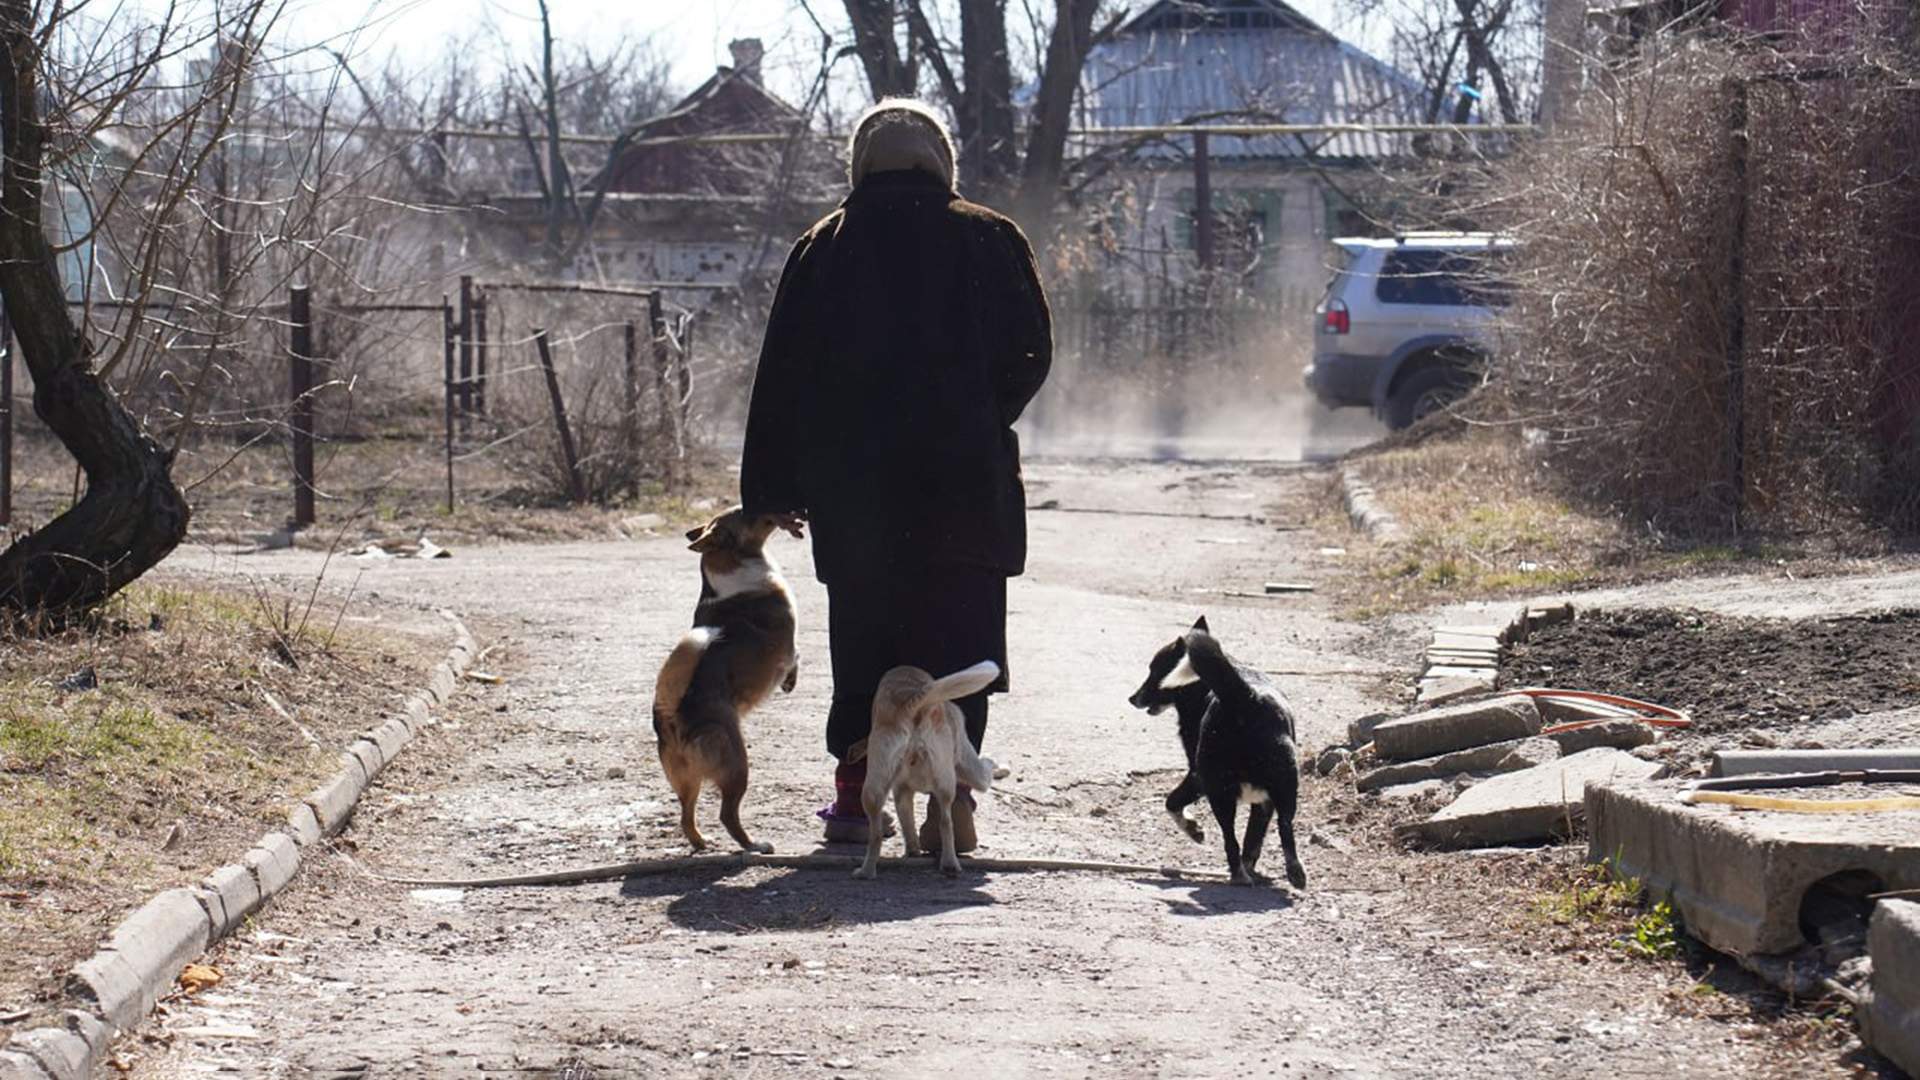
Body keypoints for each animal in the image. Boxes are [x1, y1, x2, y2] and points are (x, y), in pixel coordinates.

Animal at [645, 503, 794, 849]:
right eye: (745, 511)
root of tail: (671, 714)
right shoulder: (788, 641)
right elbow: (795, 658)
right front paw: (790, 680)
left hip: (687, 780)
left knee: (686, 816)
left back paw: (701, 842)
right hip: (736, 764)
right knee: (728, 814)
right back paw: (755, 845)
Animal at [856, 657, 1006, 876]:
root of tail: (912, 703)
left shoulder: (901, 793)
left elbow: (908, 825)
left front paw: (913, 852)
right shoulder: (969, 762)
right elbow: (985, 772)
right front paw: (996, 765)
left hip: (873, 788)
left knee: (875, 834)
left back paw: (866, 872)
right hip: (949, 781)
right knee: (946, 822)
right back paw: (951, 863)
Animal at [1121, 614, 1305, 883]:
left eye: (1155, 671)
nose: (1132, 698)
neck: (1202, 688)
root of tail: (1246, 697)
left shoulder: (1197, 776)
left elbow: (1171, 802)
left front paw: (1193, 829)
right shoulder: (1264, 802)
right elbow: (1254, 838)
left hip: (1219, 790)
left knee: (1230, 837)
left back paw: (1238, 875)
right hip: (1285, 782)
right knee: (1285, 827)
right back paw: (1294, 873)